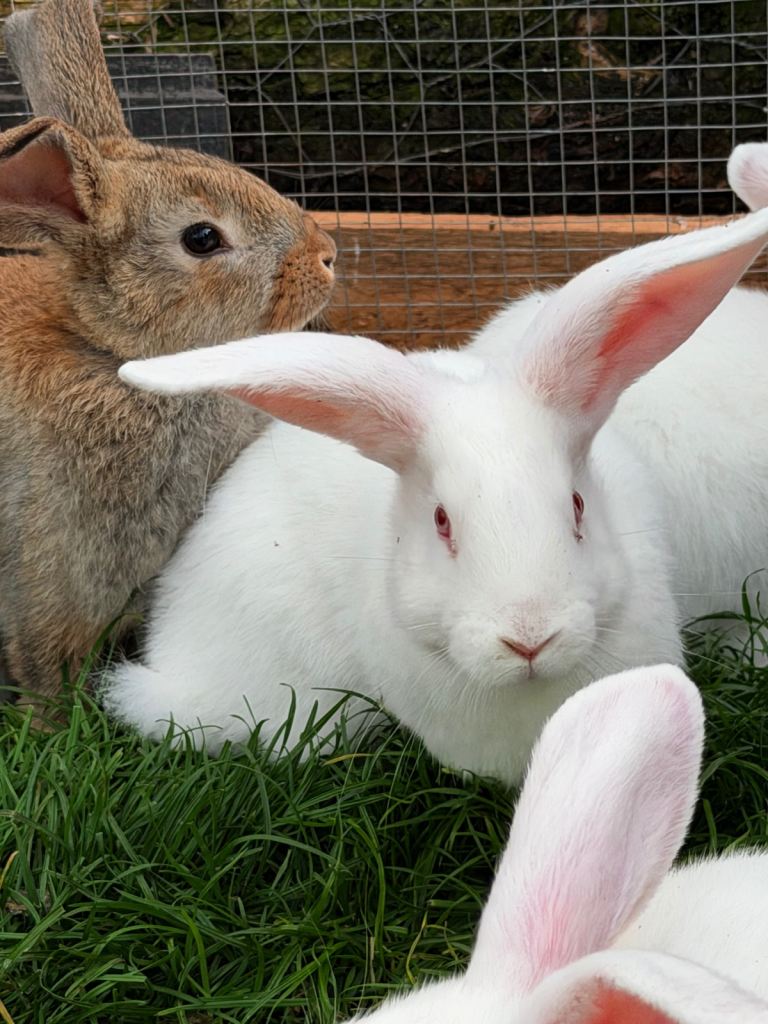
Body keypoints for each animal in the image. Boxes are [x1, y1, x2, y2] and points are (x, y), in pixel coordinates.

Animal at [0, 0, 337, 699]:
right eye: (201, 238)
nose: (327, 255)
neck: (119, 357)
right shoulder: (48, 577)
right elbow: (47, 670)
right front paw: (51, 717)